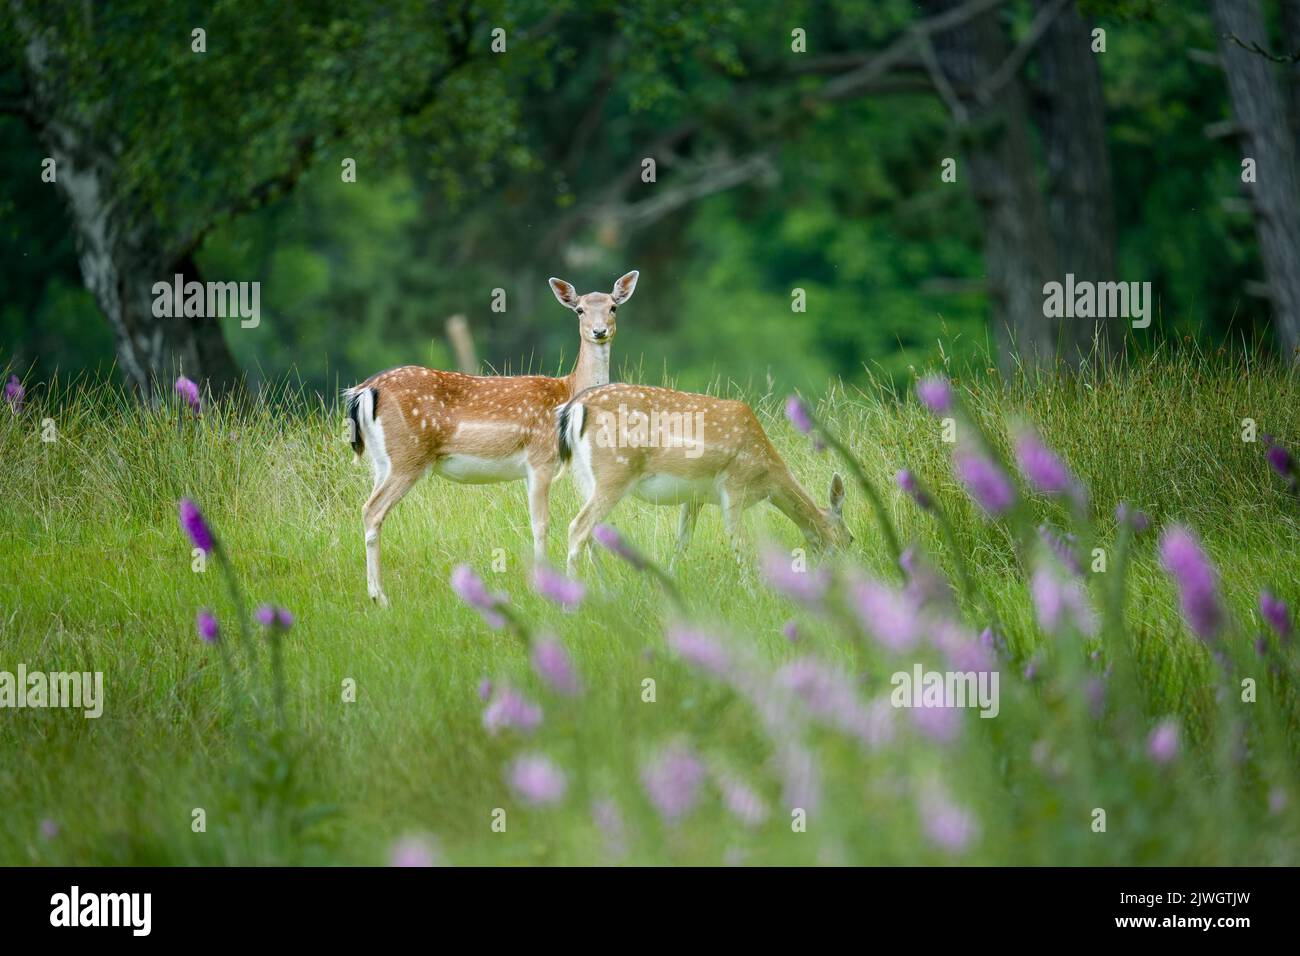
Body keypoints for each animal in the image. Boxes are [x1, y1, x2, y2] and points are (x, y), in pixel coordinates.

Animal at [345, 269, 639, 606]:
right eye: (579, 309)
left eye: (613, 307)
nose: (599, 331)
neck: (567, 391)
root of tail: (364, 391)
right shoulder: (540, 457)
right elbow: (541, 525)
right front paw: (542, 588)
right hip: (409, 456)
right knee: (371, 510)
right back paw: (379, 597)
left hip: (382, 461)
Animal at [559, 382, 852, 574]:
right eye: (850, 539)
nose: (843, 572)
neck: (767, 476)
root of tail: (574, 408)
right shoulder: (735, 483)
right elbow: (739, 543)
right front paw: (754, 590)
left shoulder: (694, 496)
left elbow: (682, 543)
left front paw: (672, 578)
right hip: (615, 473)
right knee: (577, 527)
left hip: (585, 477)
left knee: (591, 533)